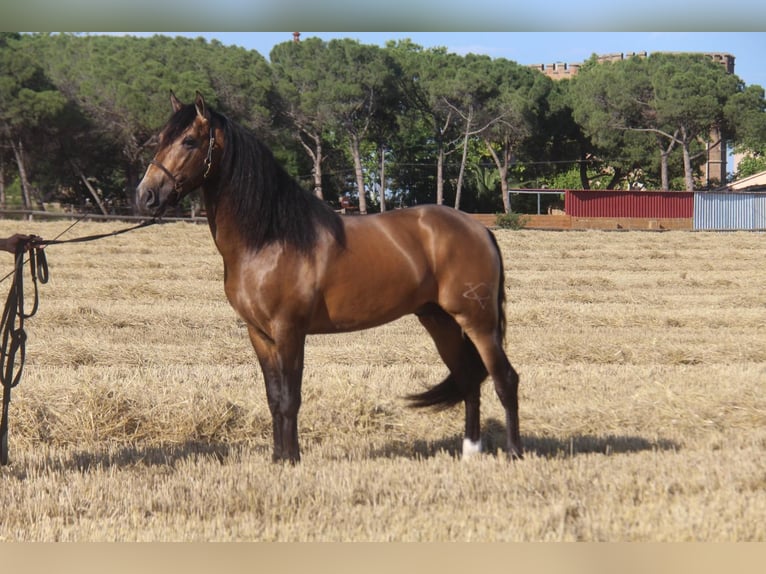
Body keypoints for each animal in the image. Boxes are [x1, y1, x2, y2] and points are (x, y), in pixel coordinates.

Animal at [136, 92, 520, 466]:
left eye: (189, 140)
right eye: (161, 138)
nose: (145, 195)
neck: (270, 237)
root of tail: (480, 229)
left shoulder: (289, 331)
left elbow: (290, 397)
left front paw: (291, 459)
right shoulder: (259, 334)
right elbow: (274, 397)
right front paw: (278, 458)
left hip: (478, 321)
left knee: (505, 378)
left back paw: (514, 452)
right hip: (439, 321)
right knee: (469, 379)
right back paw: (470, 451)